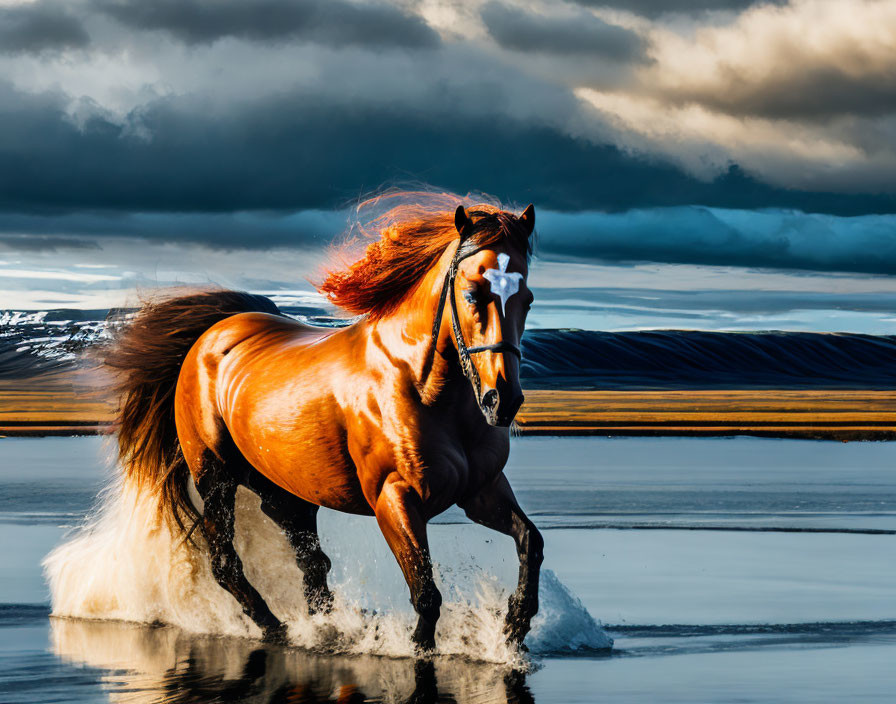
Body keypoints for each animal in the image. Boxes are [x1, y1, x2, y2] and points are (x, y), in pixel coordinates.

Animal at [105, 195, 540, 652]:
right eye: (473, 294)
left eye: (527, 298)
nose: (503, 400)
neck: (426, 390)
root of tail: (210, 335)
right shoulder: (395, 499)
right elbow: (426, 594)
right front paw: (422, 649)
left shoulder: (481, 491)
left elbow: (531, 541)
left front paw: (514, 625)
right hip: (216, 477)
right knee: (227, 562)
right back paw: (273, 627)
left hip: (285, 493)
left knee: (311, 563)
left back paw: (326, 628)